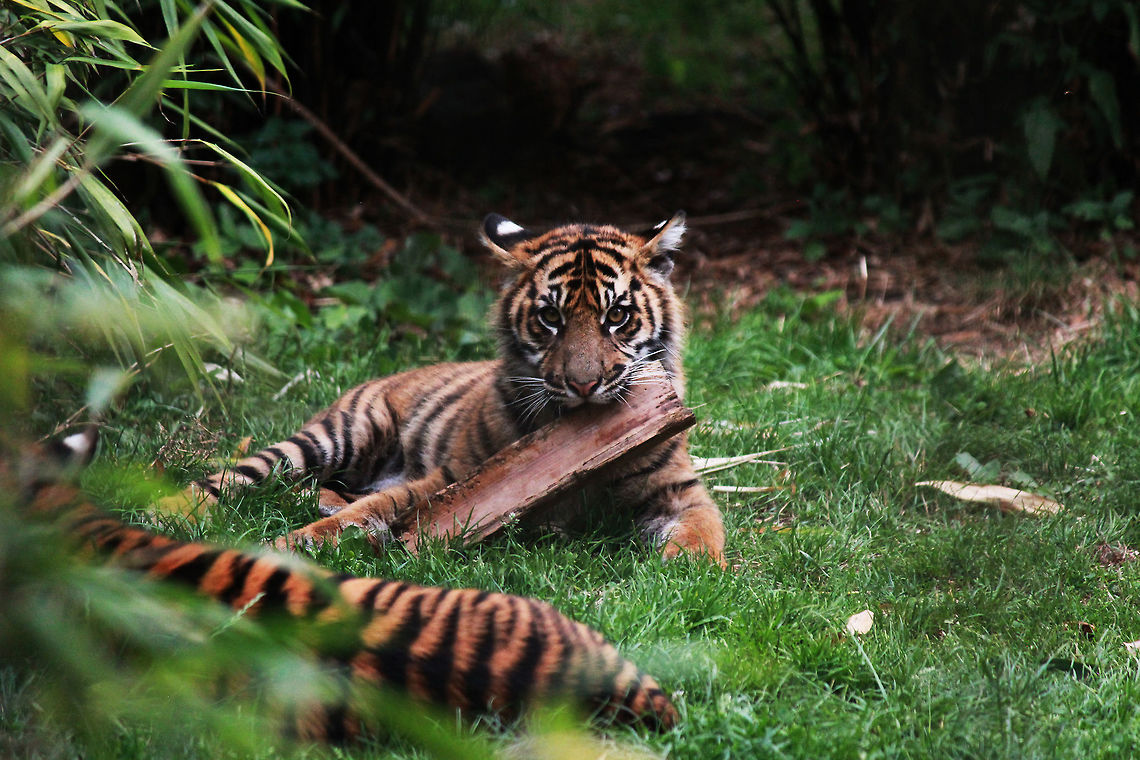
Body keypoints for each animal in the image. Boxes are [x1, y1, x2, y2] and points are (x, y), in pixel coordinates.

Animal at [175, 212, 726, 567]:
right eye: (551, 317)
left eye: (617, 315)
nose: (584, 384)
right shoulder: (455, 477)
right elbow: (378, 508)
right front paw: (291, 548)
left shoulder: (678, 487)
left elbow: (704, 529)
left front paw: (689, 568)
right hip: (339, 434)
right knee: (235, 476)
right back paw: (172, 511)